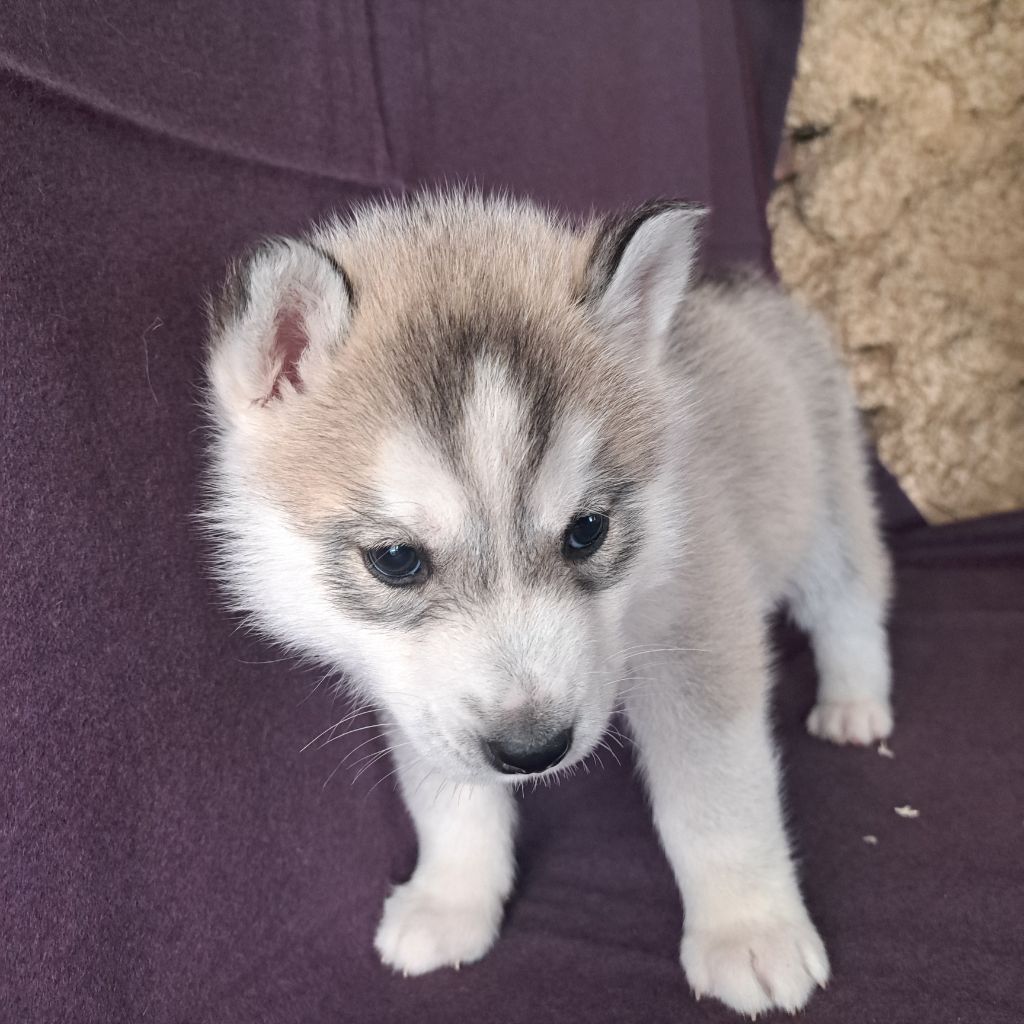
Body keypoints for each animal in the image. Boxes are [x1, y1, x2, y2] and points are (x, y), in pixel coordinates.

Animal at [202, 192, 893, 1016]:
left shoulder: (697, 627)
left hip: (825, 497)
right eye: (396, 560)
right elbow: (448, 797)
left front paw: (749, 931)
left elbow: (717, 793)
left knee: (850, 597)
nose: (534, 751)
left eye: (587, 531)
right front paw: (451, 900)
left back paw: (856, 702)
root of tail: (744, 290)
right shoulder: (415, 698)